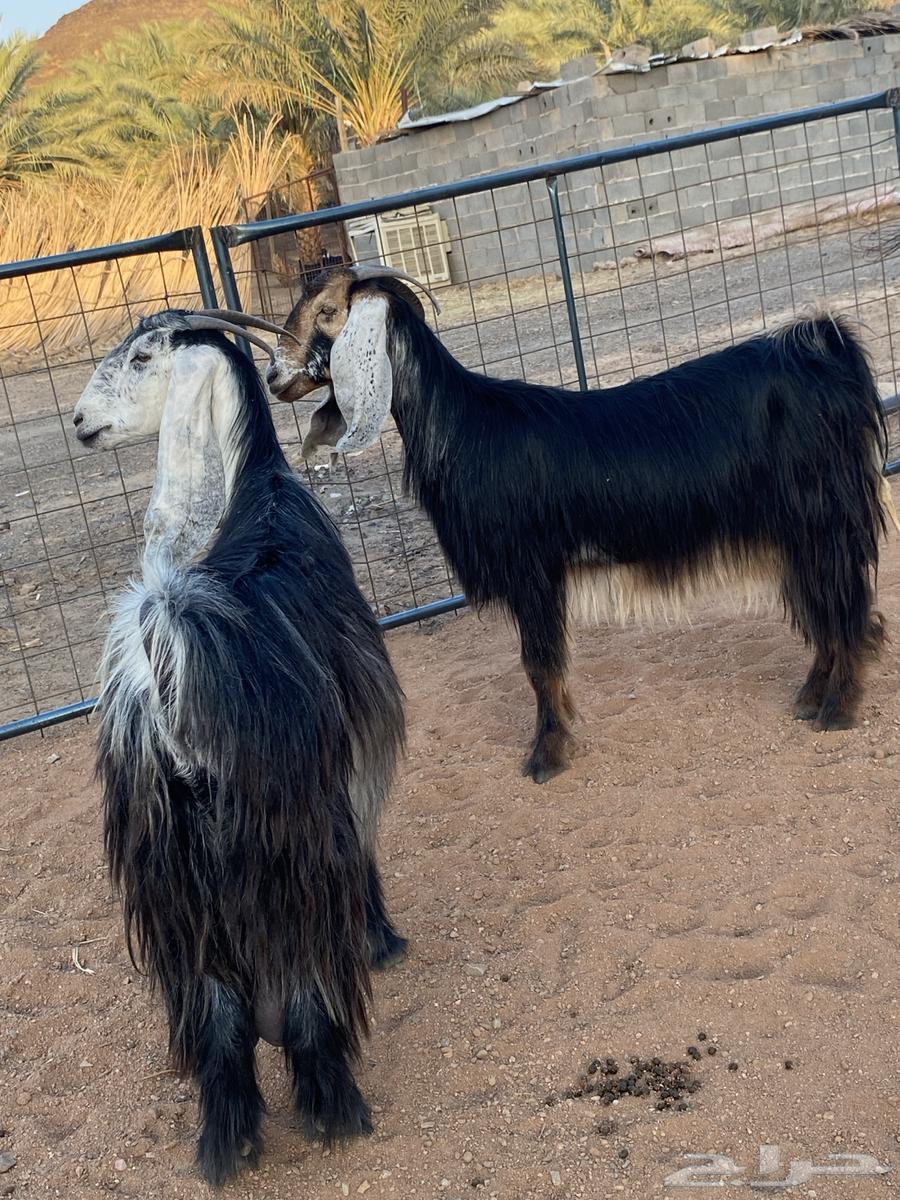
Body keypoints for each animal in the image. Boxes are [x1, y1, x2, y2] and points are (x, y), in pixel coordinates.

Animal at [72, 309, 406, 1185]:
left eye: (140, 356)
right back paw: (332, 1105)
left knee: (213, 1010)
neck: (254, 486)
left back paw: (230, 1138)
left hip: (166, 868)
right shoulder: (353, 749)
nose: (79, 422)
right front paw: (382, 938)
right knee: (300, 976)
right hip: (285, 838)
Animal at [257, 266, 892, 783]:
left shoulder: (532, 568)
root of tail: (827, 345)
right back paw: (810, 698)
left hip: (825, 517)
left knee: (847, 606)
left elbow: (540, 665)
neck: (465, 428)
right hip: (800, 529)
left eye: (328, 311)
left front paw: (547, 756)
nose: (274, 378)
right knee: (824, 604)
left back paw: (837, 710)